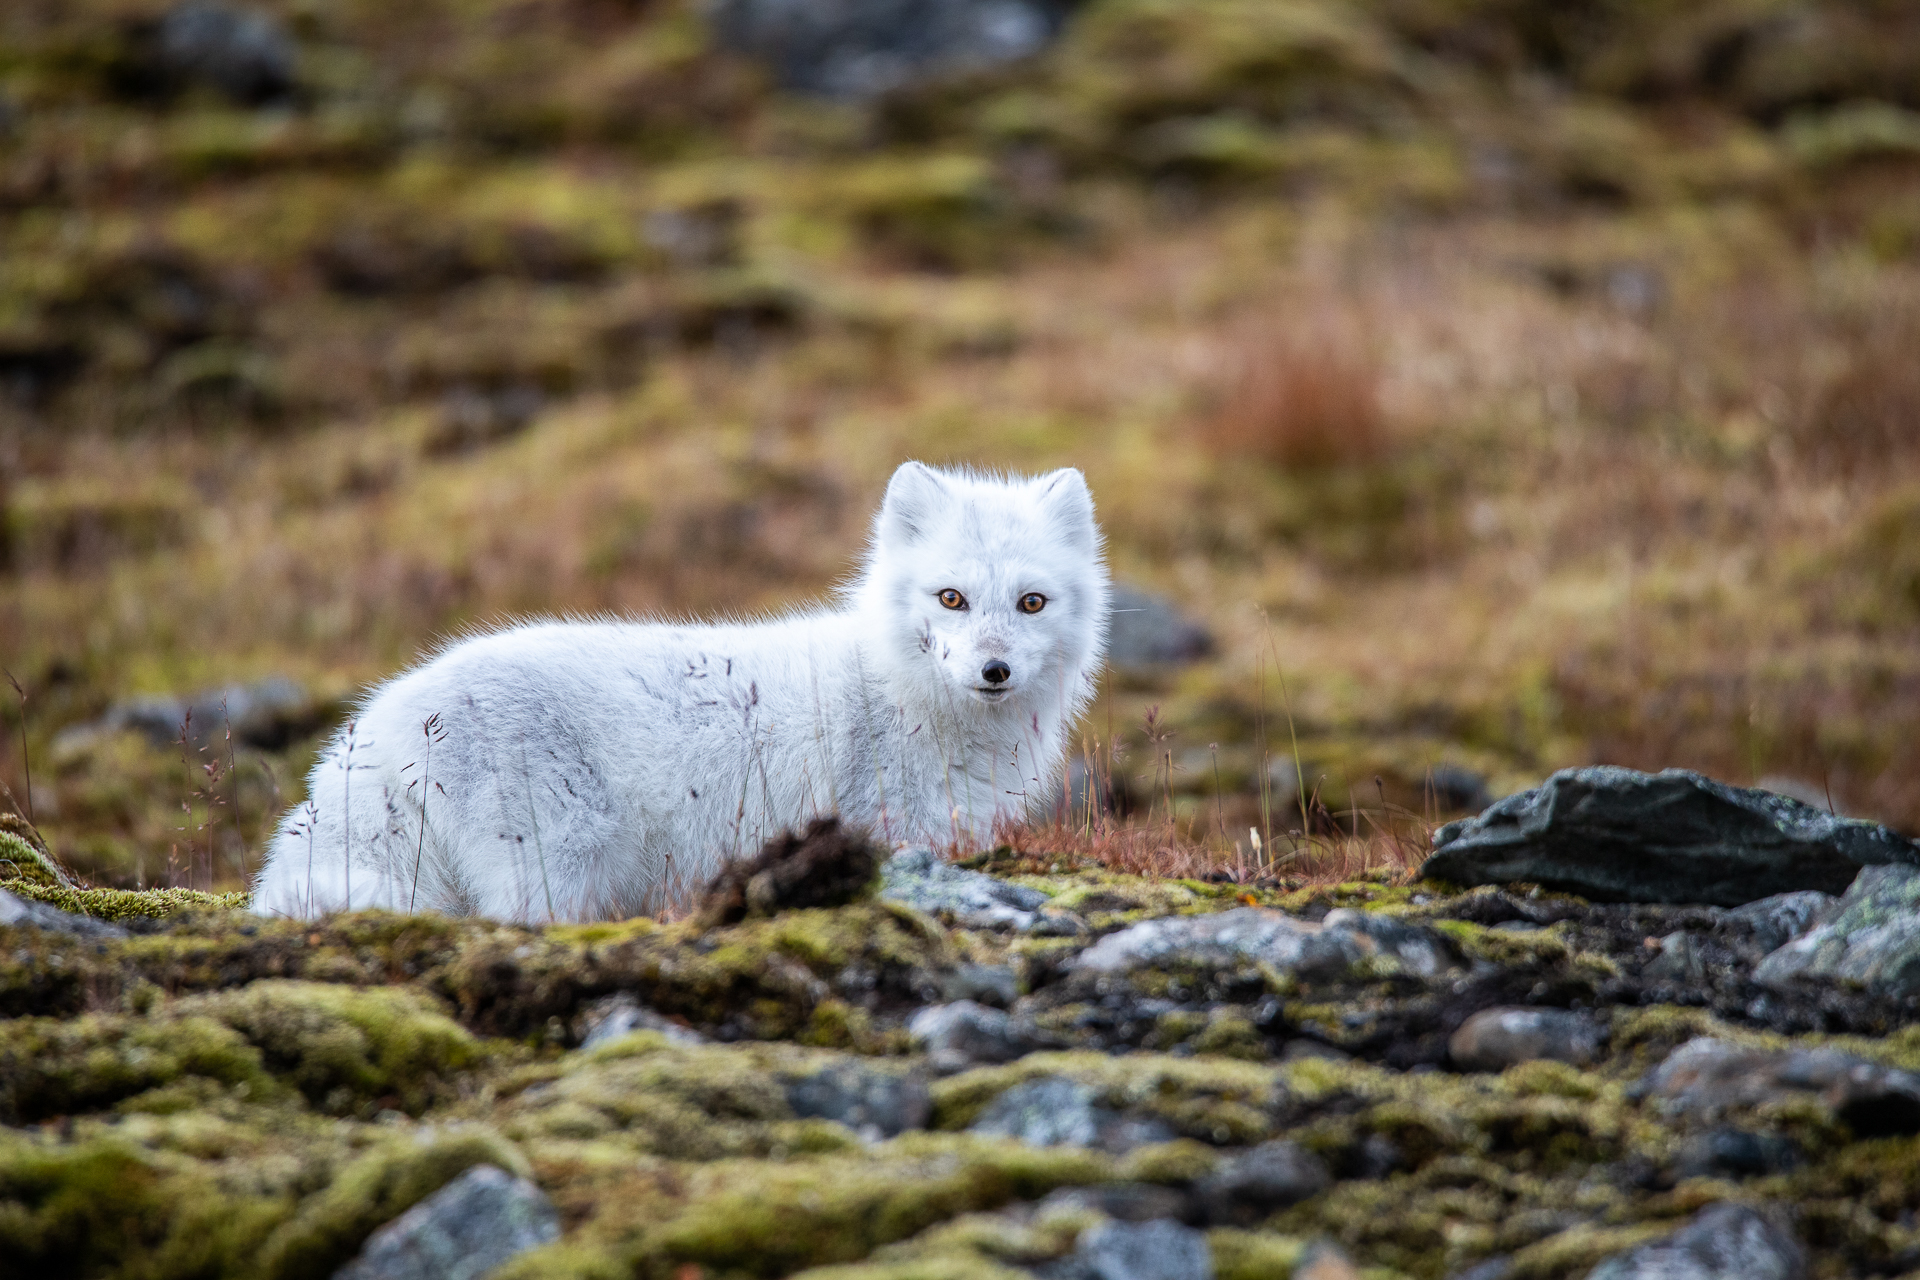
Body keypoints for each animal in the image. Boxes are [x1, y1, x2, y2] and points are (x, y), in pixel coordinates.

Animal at [250, 462, 1110, 922]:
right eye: (951, 599)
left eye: (1032, 603)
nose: (994, 672)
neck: (903, 690)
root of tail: (385, 720)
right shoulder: (895, 828)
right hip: (557, 863)